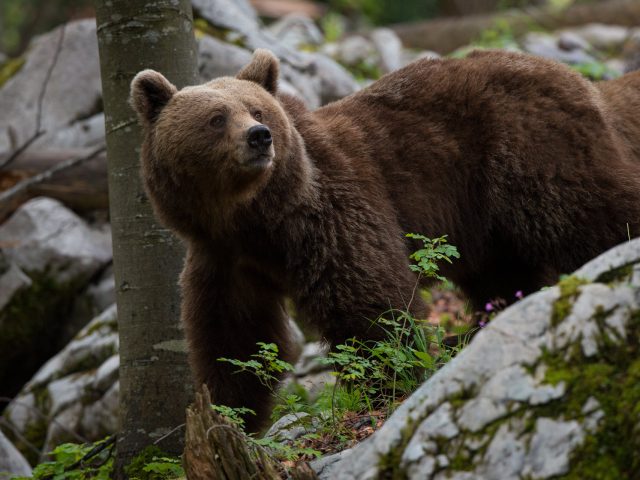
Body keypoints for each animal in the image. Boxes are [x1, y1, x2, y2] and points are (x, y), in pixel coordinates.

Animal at [130, 49, 640, 432]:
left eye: (256, 109)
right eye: (217, 118)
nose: (260, 137)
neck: (253, 218)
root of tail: (581, 79)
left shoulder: (328, 212)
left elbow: (368, 300)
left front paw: (392, 378)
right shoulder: (224, 259)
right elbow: (236, 340)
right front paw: (230, 414)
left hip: (528, 150)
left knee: (591, 214)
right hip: (488, 222)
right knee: (504, 276)